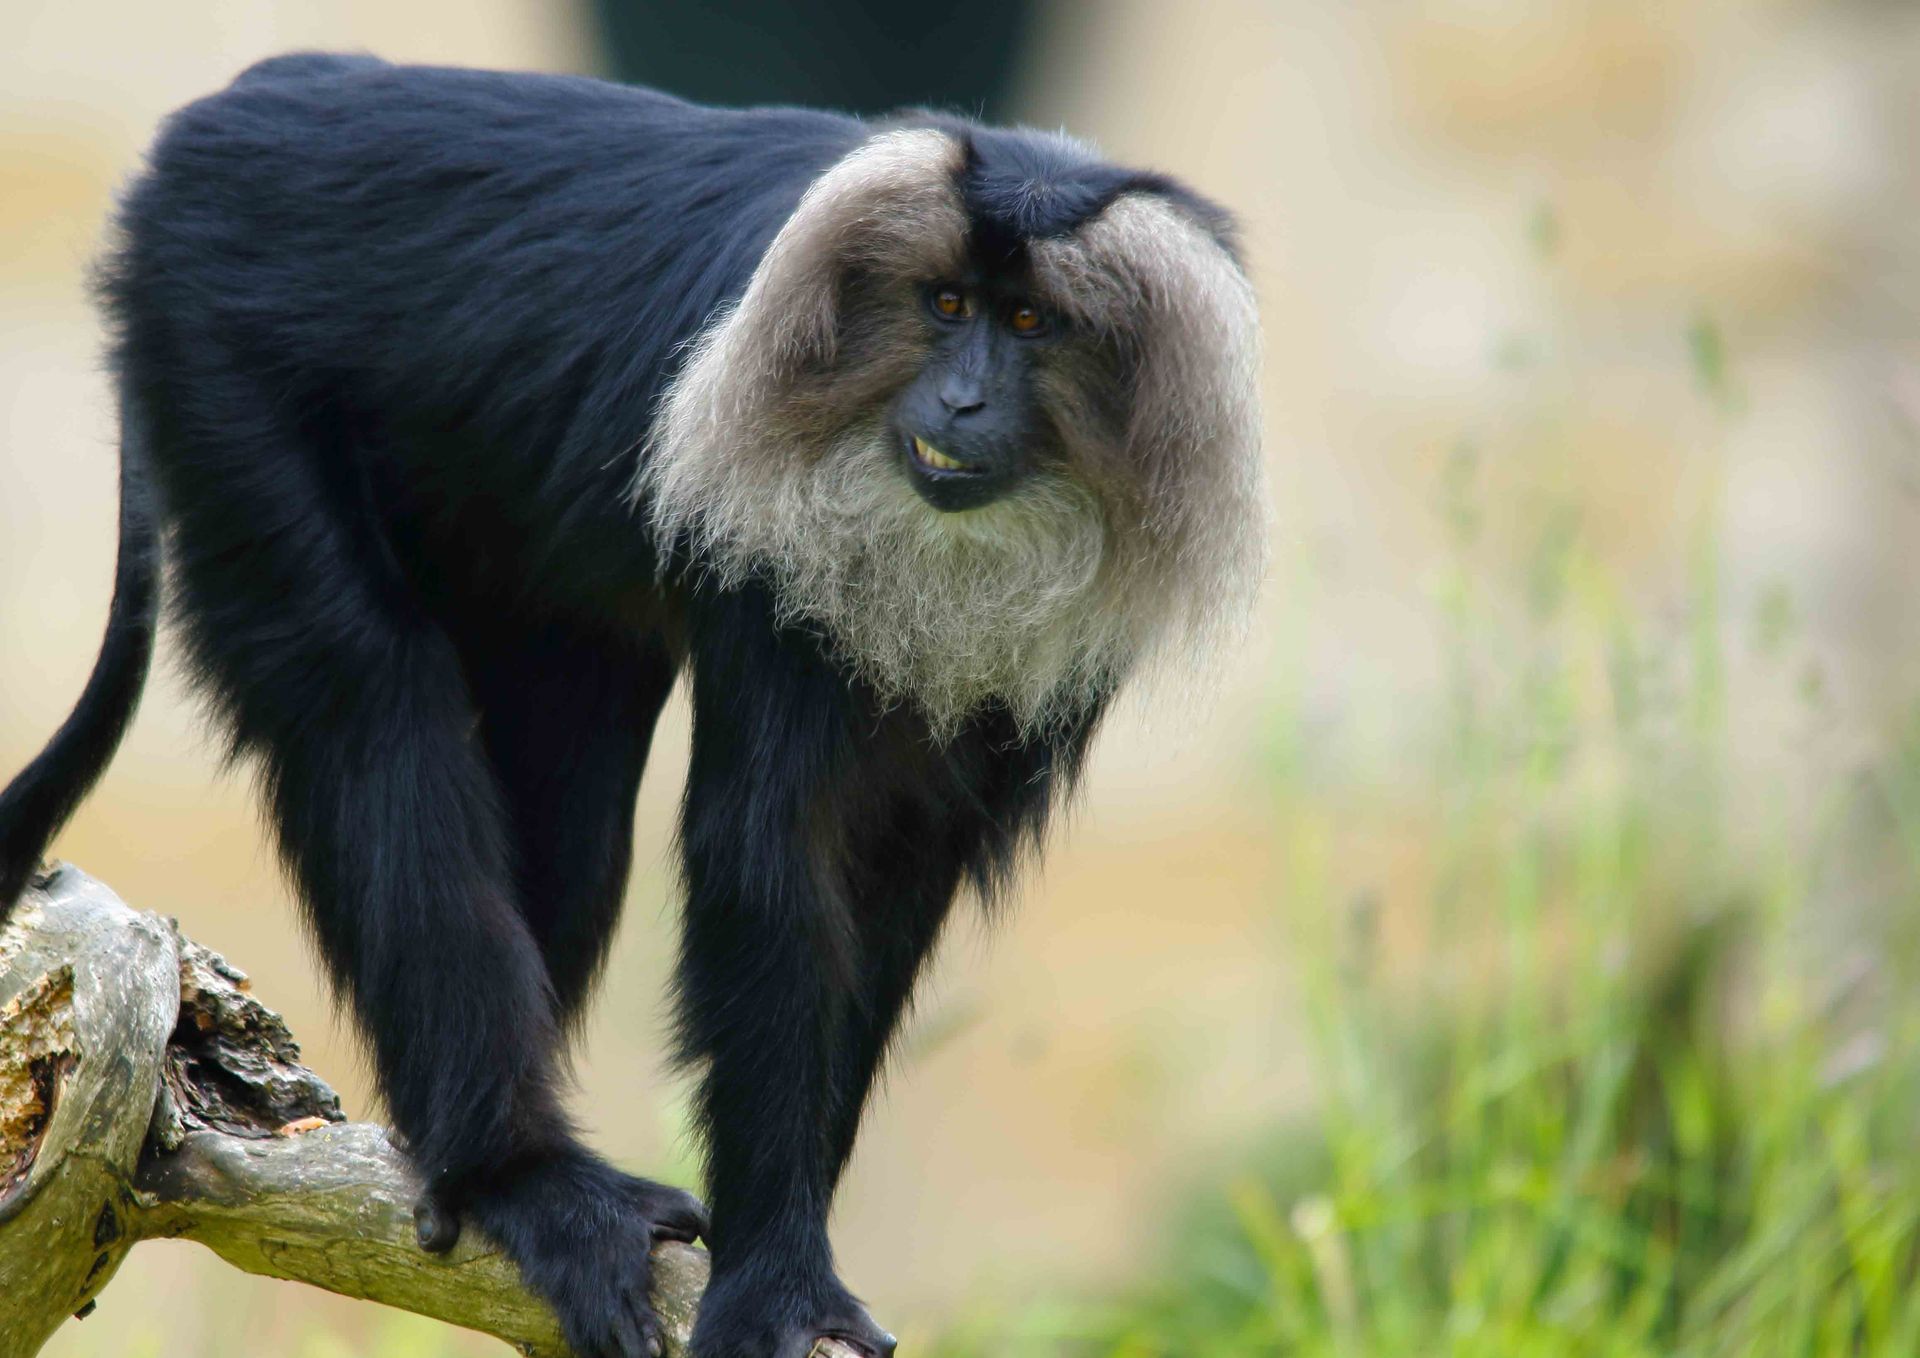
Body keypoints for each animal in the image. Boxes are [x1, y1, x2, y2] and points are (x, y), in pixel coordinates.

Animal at [0, 53, 1264, 1358]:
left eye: (1028, 324)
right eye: (945, 304)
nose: (961, 403)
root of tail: (239, 102)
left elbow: (884, 889)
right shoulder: (774, 540)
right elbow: (770, 859)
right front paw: (777, 1278)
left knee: (568, 794)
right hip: (214, 364)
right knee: (365, 702)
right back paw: (516, 1177)